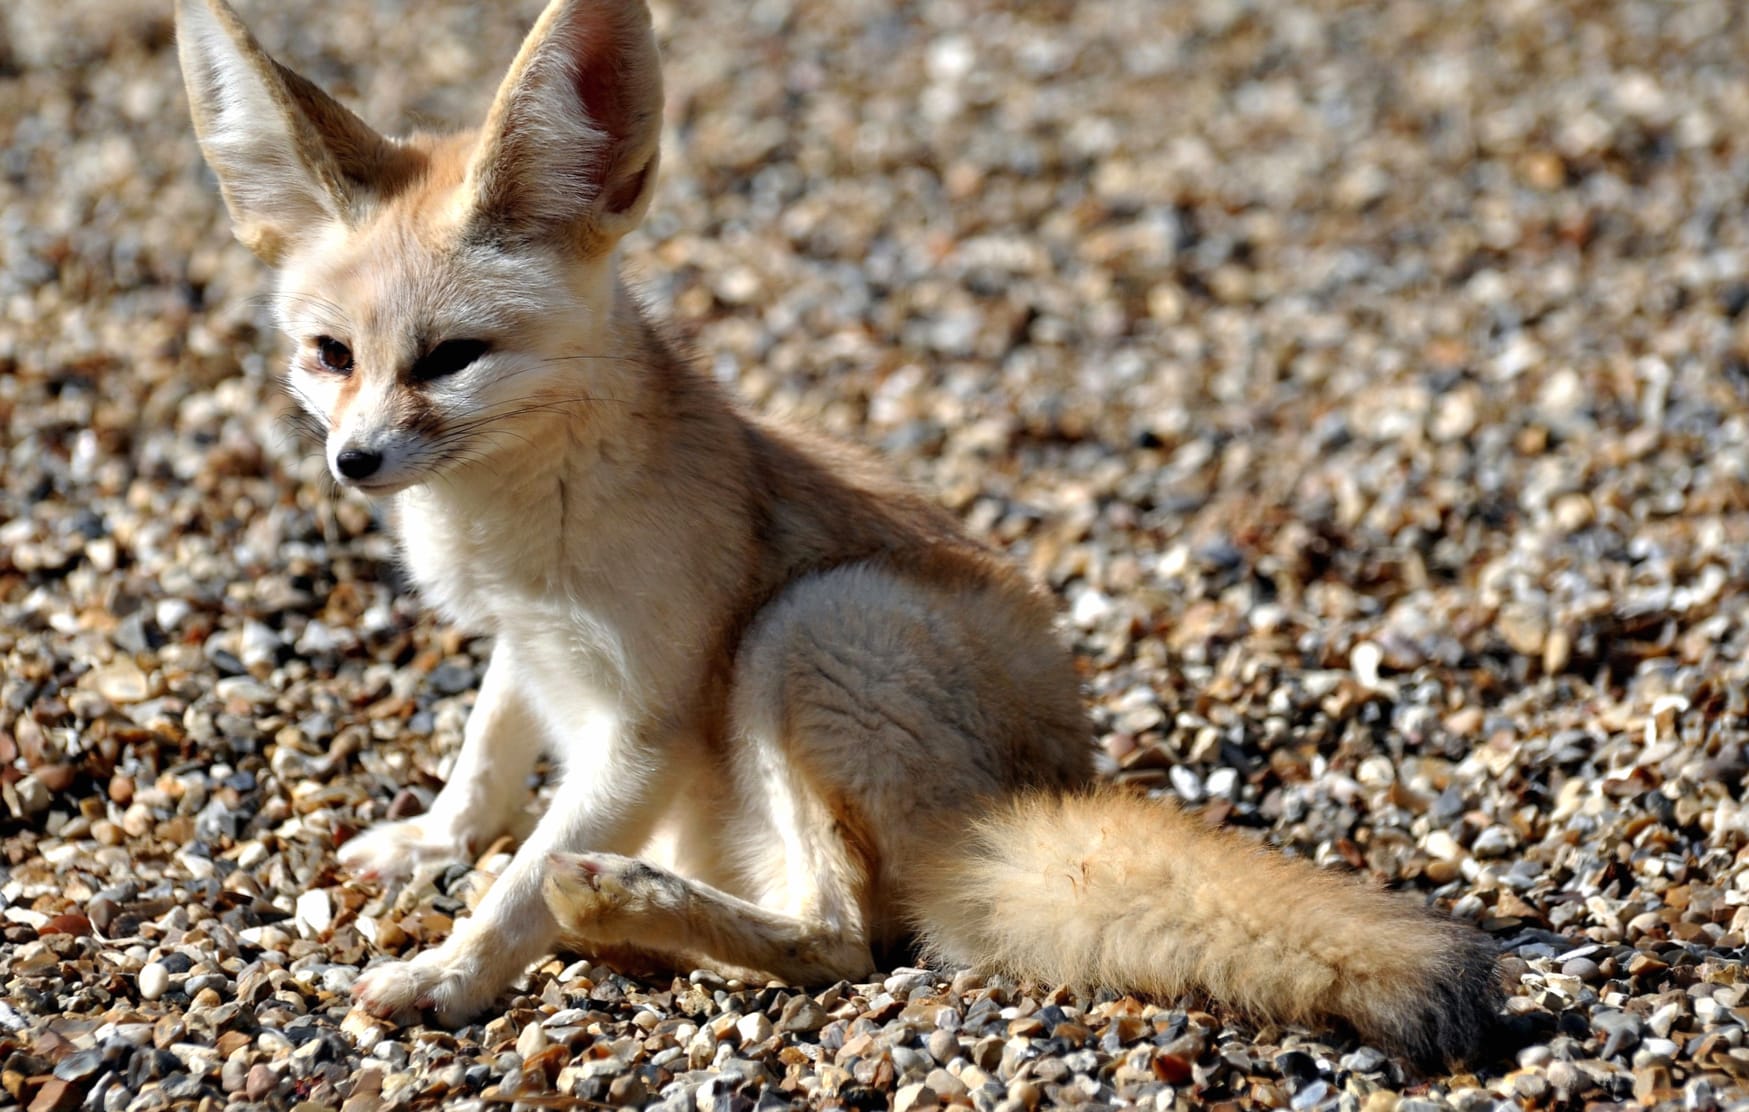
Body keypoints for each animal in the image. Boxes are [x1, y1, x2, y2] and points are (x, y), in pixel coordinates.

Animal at [181, 0, 1504, 1070]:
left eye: (453, 357)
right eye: (330, 354)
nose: (354, 461)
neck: (516, 515)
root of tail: (1015, 810)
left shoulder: (646, 724)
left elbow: (515, 885)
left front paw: (449, 973)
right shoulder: (526, 642)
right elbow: (485, 761)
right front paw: (432, 841)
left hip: (811, 625)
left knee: (846, 941)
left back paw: (621, 903)